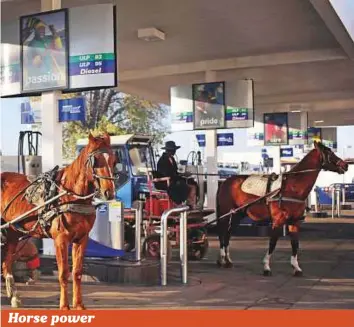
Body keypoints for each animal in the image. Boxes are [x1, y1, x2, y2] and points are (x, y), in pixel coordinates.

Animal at [0, 133, 115, 310]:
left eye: (114, 160)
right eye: (96, 161)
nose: (109, 192)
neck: (69, 196)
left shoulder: (81, 239)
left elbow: (77, 272)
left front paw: (79, 305)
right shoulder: (60, 239)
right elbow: (63, 273)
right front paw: (64, 306)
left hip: (13, 233)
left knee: (6, 264)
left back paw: (14, 297)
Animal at [216, 143, 348, 276]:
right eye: (329, 152)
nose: (345, 165)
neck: (292, 187)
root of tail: (225, 182)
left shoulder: (294, 222)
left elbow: (295, 244)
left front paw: (296, 267)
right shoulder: (278, 221)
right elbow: (273, 243)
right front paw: (266, 267)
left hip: (237, 215)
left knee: (228, 234)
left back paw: (228, 260)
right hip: (226, 214)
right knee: (222, 233)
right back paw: (222, 259)